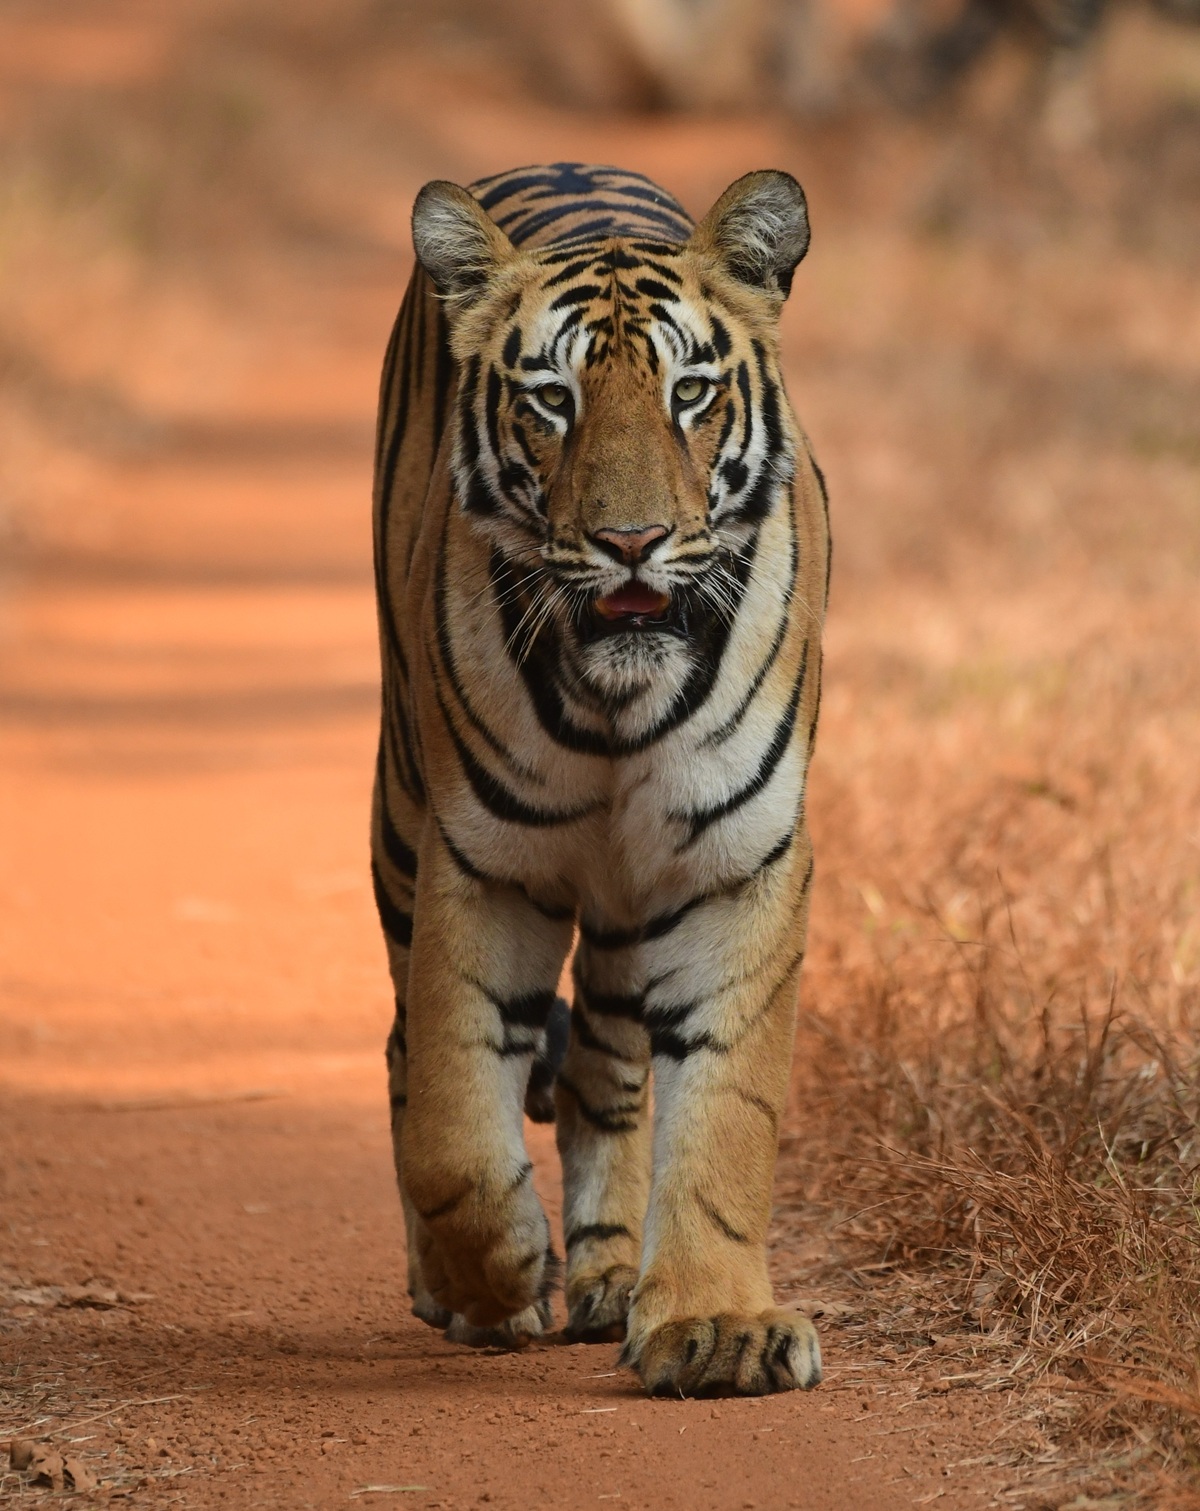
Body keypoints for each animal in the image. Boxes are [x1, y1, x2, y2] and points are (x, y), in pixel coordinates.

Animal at [370, 161, 830, 1396]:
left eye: (690, 392)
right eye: (552, 400)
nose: (632, 541)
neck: (621, 703)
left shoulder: (738, 864)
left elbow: (729, 1111)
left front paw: (715, 1325)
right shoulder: (481, 861)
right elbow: (452, 1110)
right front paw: (494, 1279)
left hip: (632, 896)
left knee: (609, 1071)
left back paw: (614, 1275)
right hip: (399, 813)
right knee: (403, 1047)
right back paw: (463, 1284)